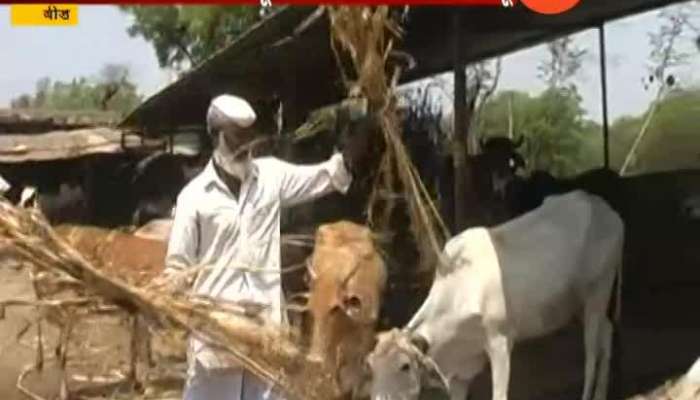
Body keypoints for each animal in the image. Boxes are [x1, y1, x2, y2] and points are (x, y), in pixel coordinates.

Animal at [308, 220, 388, 398]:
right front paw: (336, 391)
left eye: (334, 308)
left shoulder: (367, 328)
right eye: (312, 308)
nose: (313, 358)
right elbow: (332, 363)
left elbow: (359, 365)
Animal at [366, 190, 624, 400]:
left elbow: (500, 394)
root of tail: (606, 210)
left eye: (404, 366)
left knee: (592, 352)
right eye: (370, 366)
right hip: (579, 304)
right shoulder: (460, 372)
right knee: (607, 332)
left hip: (597, 293)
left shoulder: (500, 342)